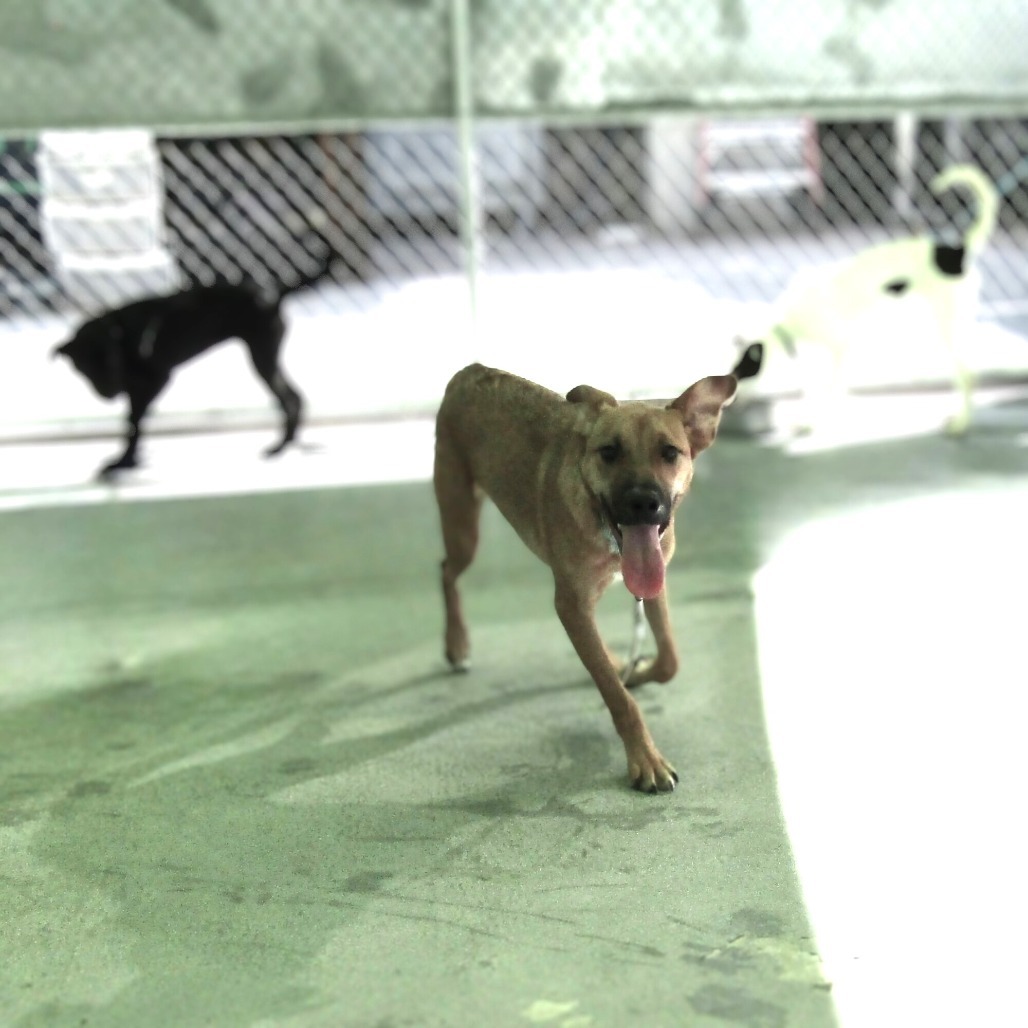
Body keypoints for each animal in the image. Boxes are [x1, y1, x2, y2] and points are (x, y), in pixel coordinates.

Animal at [54, 257, 331, 481]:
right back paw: (287, 444)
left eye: (111, 360)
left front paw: (125, 462)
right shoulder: (135, 388)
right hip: (265, 355)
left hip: (262, 354)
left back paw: (281, 447)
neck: (123, 337)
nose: (109, 394)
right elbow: (133, 423)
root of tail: (275, 291)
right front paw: (131, 459)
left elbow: (134, 423)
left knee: (290, 398)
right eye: (84, 368)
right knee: (292, 397)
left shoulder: (157, 380)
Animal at [433, 363, 740, 793]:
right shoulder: (571, 604)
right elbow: (617, 696)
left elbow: (669, 660)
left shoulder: (650, 585)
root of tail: (470, 370)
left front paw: (638, 672)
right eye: (609, 452)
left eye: (670, 453)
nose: (643, 503)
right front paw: (645, 758)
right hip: (462, 525)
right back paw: (456, 643)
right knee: (446, 571)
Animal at [736, 163, 999, 433]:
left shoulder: (839, 347)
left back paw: (961, 423)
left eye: (742, 372)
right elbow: (815, 389)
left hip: (948, 328)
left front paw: (816, 419)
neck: (788, 325)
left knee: (968, 376)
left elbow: (830, 389)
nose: (731, 397)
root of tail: (956, 253)